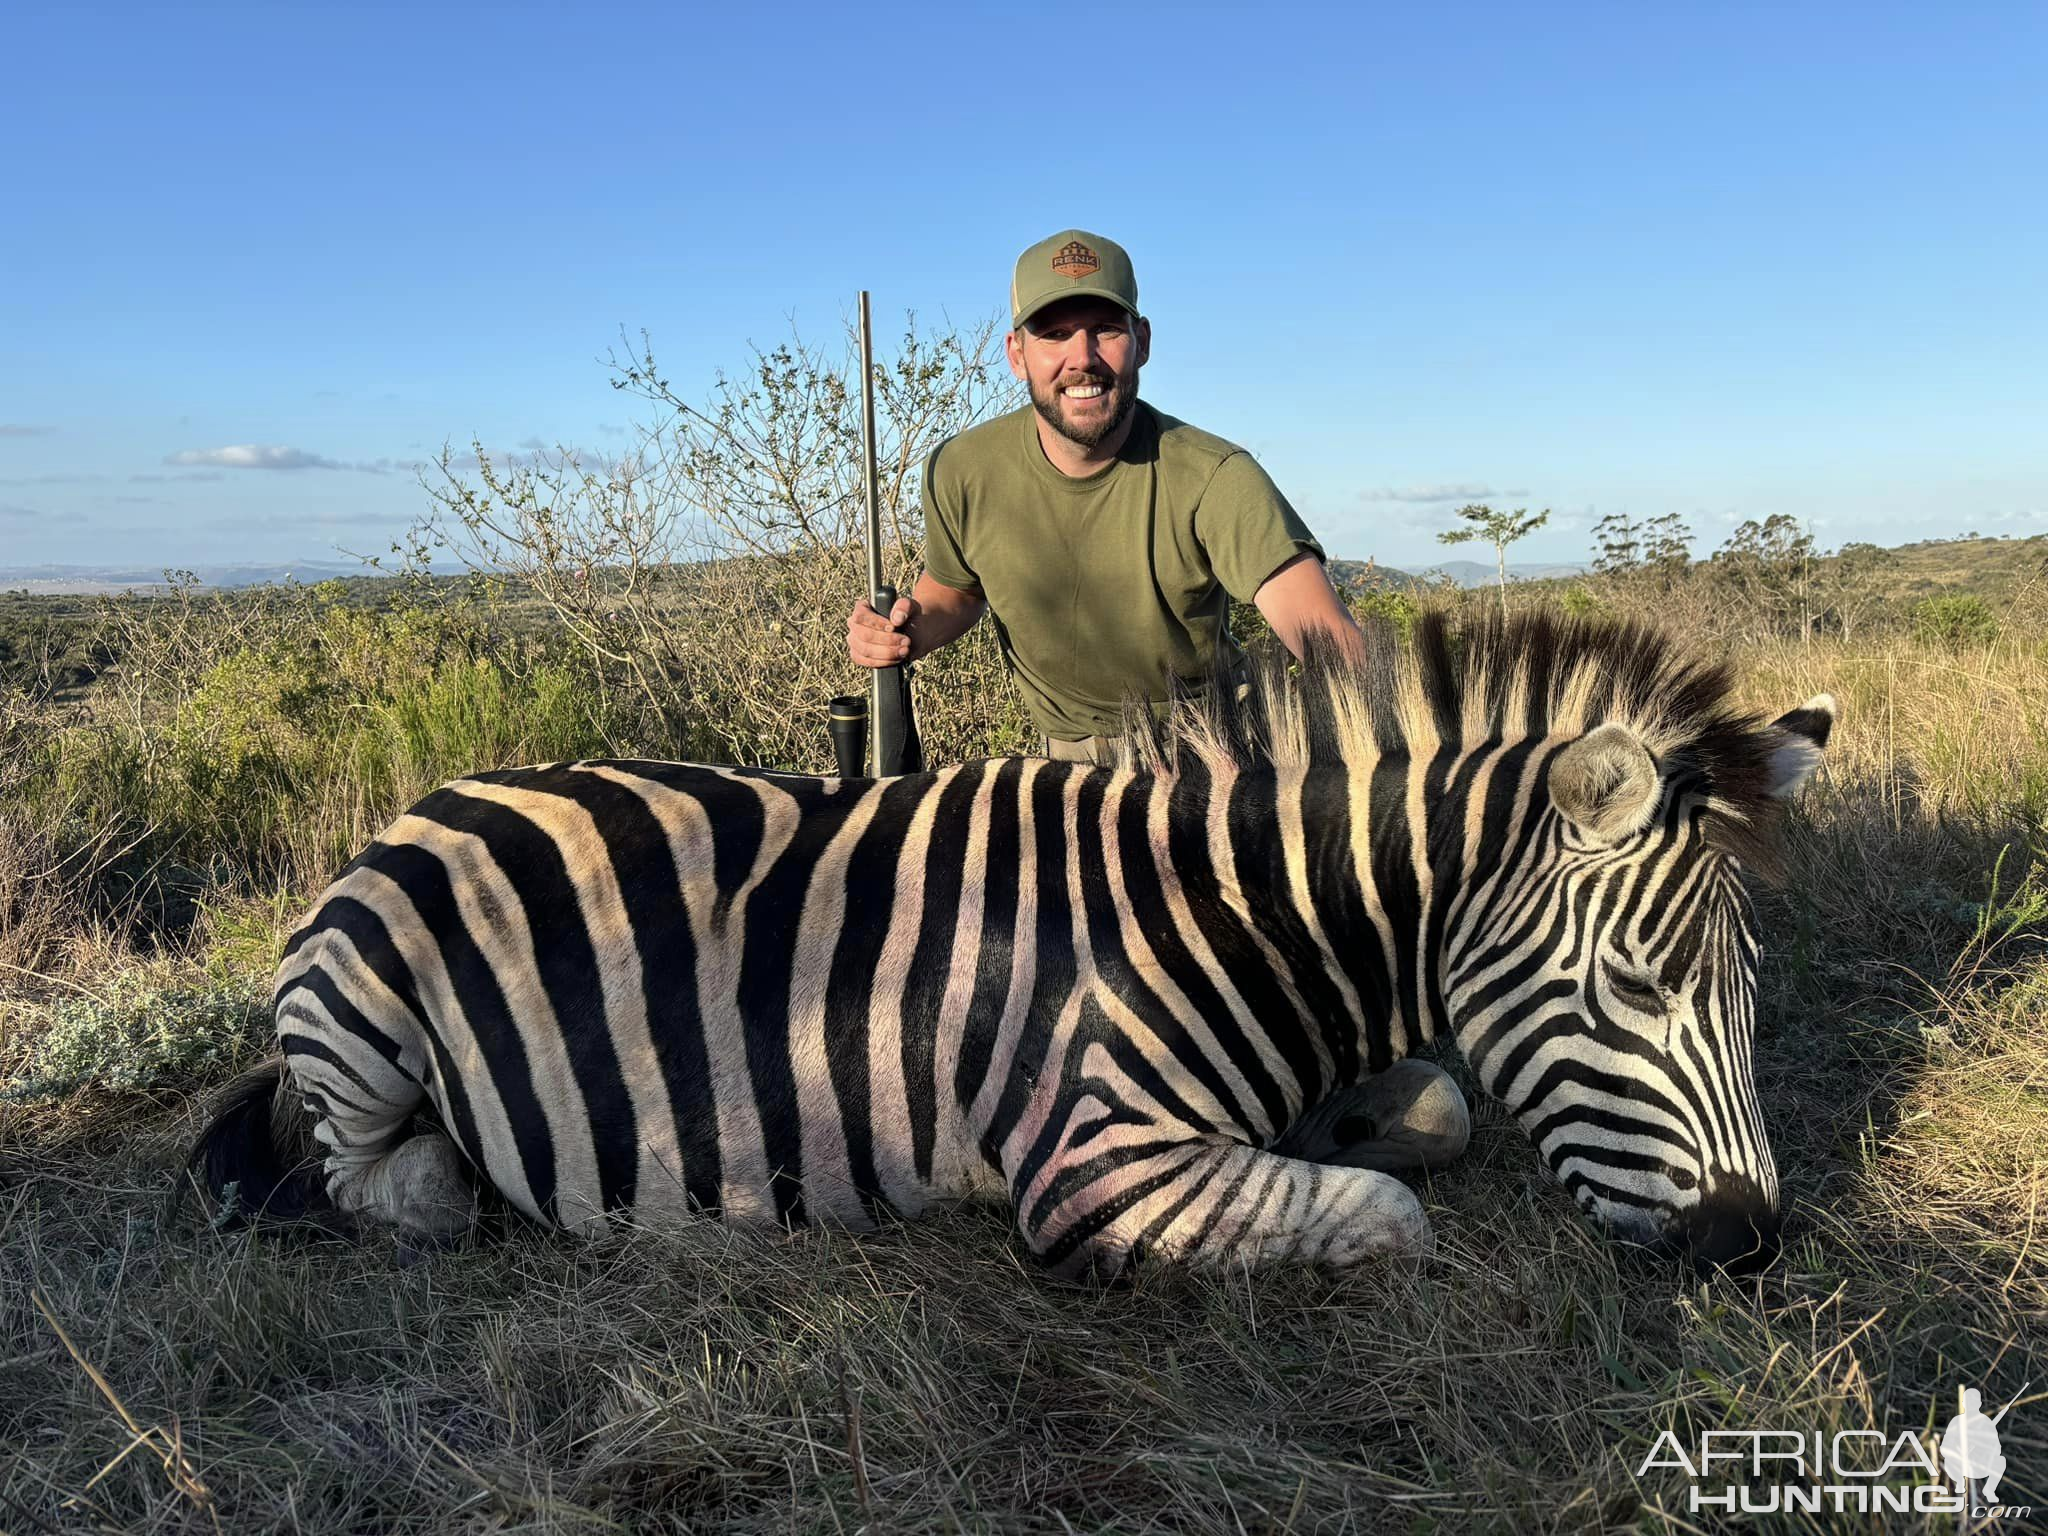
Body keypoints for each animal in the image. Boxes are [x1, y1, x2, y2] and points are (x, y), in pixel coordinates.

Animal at [192, 614, 1835, 1277]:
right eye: (1634, 987)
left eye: (1751, 991)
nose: (1748, 1244)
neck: (1235, 917)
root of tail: (428, 801)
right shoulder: (1095, 1160)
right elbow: (1389, 1216)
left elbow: (1427, 1108)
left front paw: (1354, 1117)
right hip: (364, 1037)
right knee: (387, 1181)